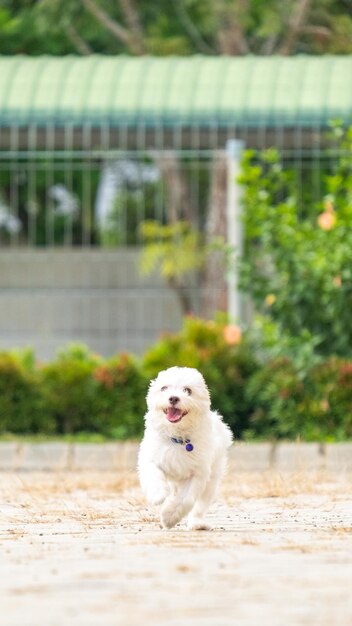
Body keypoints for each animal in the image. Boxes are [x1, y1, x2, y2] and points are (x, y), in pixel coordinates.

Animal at [138, 366, 234, 528]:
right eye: (164, 388)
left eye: (187, 390)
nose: (173, 398)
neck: (177, 438)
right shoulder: (150, 458)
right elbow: (153, 474)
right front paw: (158, 494)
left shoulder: (197, 474)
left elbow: (185, 499)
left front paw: (169, 517)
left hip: (211, 482)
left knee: (200, 506)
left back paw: (197, 523)